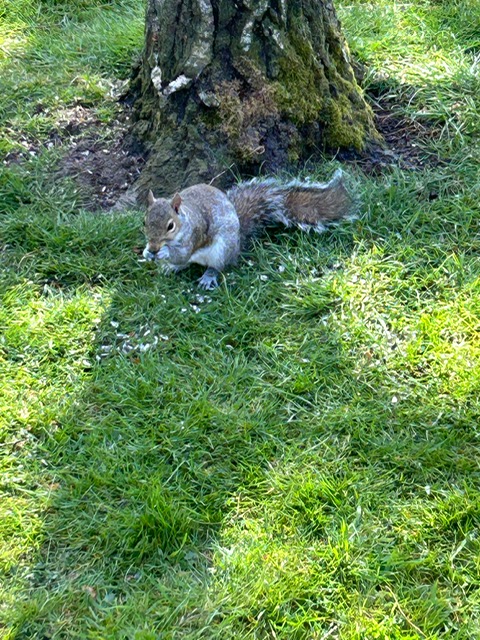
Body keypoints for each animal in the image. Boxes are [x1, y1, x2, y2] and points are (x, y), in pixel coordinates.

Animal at [143, 169, 354, 289]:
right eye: (145, 221)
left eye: (170, 226)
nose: (153, 247)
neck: (184, 220)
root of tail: (237, 242)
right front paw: (147, 252)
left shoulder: (194, 234)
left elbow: (182, 254)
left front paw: (164, 253)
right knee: (186, 264)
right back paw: (171, 268)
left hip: (222, 249)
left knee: (217, 265)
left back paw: (208, 276)